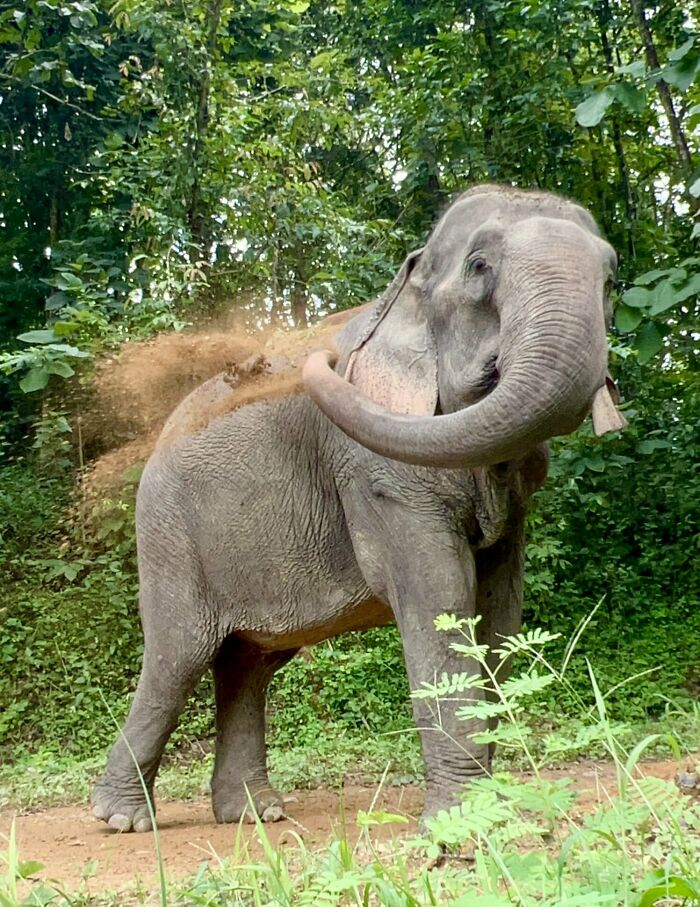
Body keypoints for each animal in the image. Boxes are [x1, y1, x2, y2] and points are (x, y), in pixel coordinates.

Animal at [91, 183, 624, 828]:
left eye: (612, 280)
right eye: (479, 268)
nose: (321, 358)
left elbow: (498, 611)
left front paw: (495, 811)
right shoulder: (377, 473)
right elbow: (439, 596)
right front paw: (460, 824)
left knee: (248, 661)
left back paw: (255, 815)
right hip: (169, 534)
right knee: (178, 656)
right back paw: (122, 819)